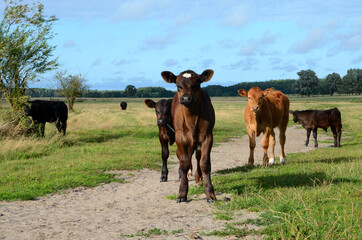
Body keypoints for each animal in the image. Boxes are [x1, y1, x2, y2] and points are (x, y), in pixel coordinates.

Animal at [162, 69, 218, 202]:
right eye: (178, 86)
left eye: (196, 86)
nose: (186, 98)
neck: (192, 119)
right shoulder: (180, 138)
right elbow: (184, 163)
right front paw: (182, 193)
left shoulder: (207, 137)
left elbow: (205, 163)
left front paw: (210, 193)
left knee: (198, 158)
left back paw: (198, 179)